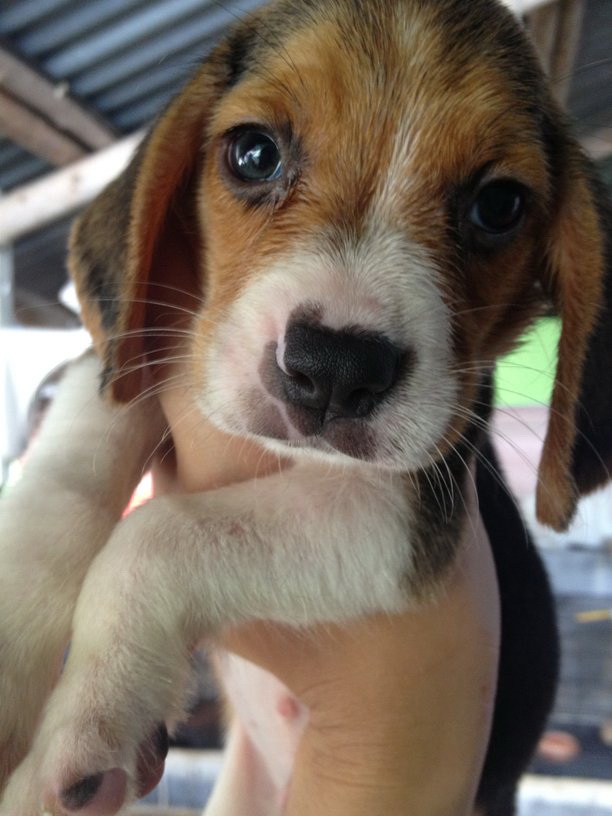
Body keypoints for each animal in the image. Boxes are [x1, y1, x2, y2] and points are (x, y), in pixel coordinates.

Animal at [1, 0, 611, 813]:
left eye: (499, 205)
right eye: (254, 155)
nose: (334, 369)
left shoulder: (406, 515)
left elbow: (160, 537)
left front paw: (89, 721)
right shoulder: (138, 356)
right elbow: (59, 486)